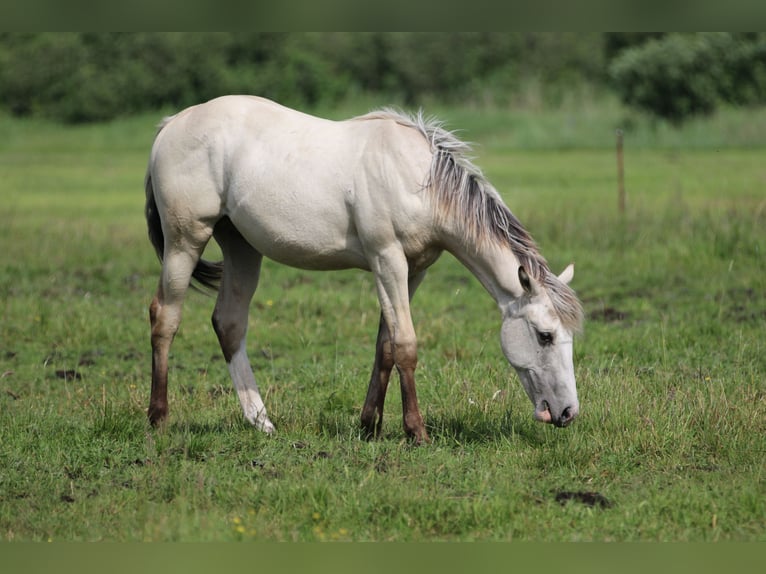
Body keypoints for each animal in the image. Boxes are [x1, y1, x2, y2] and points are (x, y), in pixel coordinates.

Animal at [144, 97, 584, 444]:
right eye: (544, 336)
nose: (567, 412)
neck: (417, 181)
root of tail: (171, 125)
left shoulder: (414, 270)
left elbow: (385, 347)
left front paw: (369, 425)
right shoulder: (386, 260)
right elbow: (406, 345)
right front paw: (416, 432)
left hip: (241, 247)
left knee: (229, 323)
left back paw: (261, 422)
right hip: (186, 240)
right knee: (165, 318)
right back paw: (159, 419)